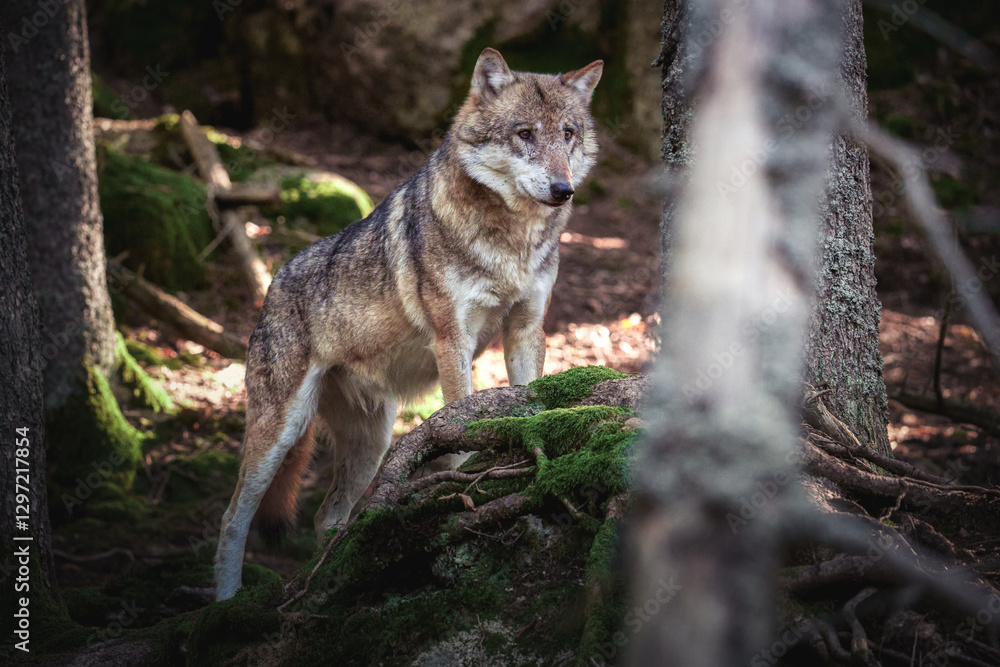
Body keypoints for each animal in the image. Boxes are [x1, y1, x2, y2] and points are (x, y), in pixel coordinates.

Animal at [214, 48, 602, 600]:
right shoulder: (451, 339)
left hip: (371, 442)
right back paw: (225, 602)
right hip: (280, 433)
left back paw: (331, 574)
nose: (563, 189)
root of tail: (271, 288)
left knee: (327, 515)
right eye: (525, 133)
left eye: (568, 133)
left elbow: (531, 397)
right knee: (233, 520)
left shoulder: (527, 328)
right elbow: (460, 428)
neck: (512, 242)